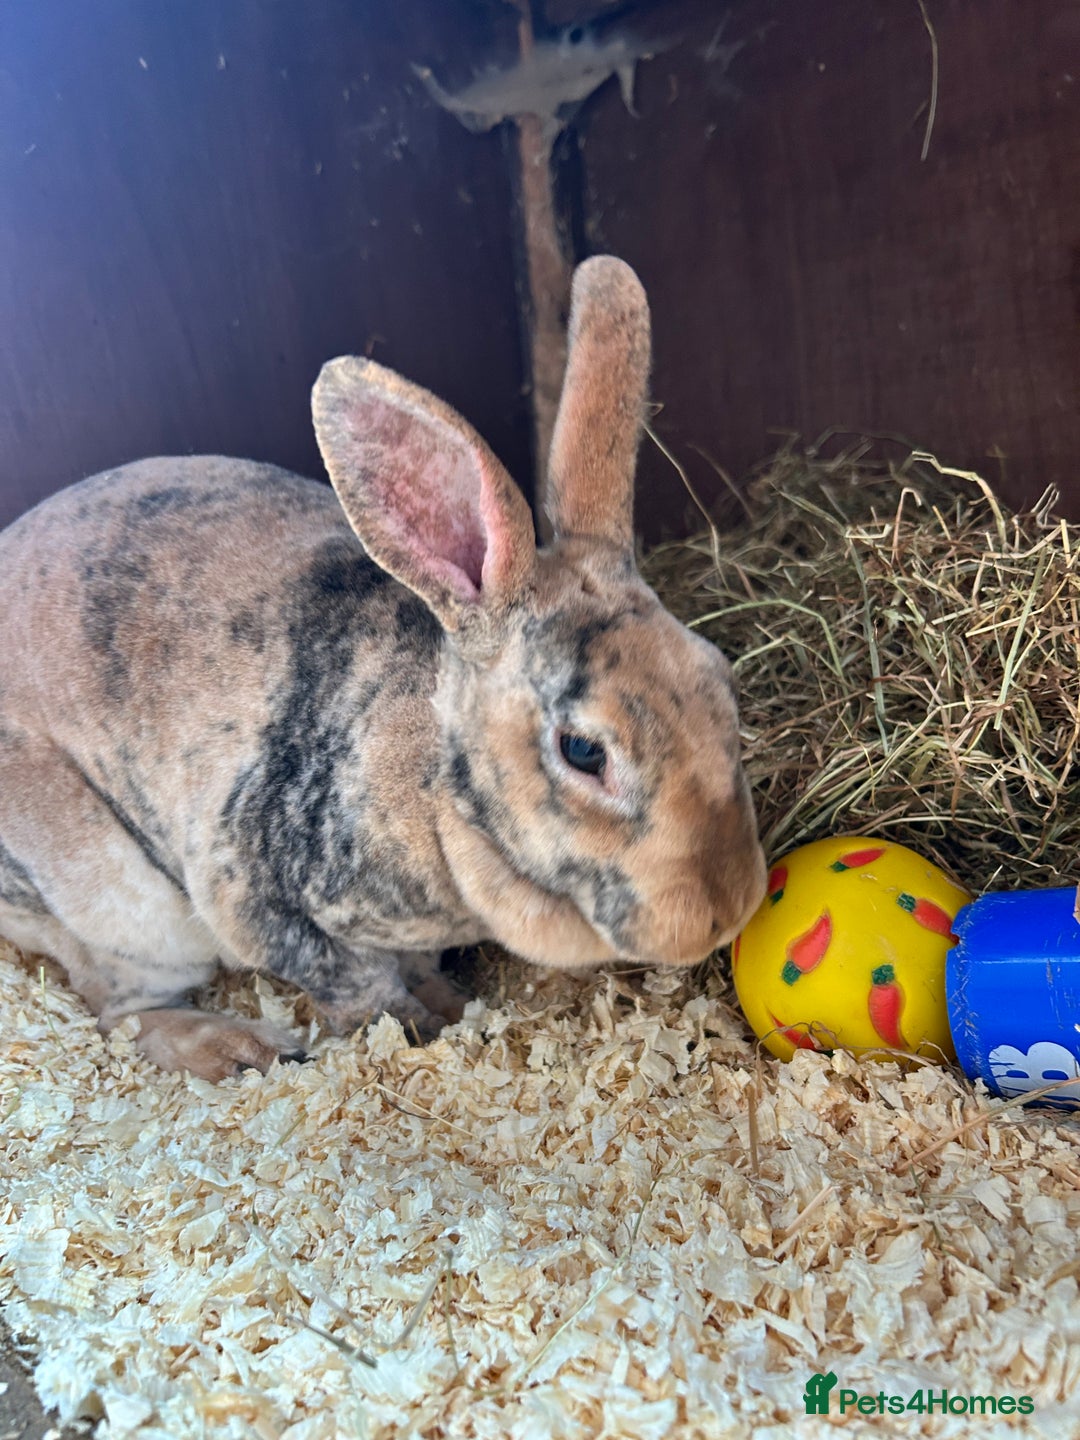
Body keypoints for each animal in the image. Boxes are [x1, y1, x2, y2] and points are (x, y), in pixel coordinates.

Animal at [0, 256, 766, 1080]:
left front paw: (449, 1001)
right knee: (116, 1008)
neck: (431, 789)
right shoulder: (254, 899)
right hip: (122, 908)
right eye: (584, 751)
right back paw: (237, 1048)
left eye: (722, 682)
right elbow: (355, 982)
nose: (725, 912)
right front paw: (419, 1027)